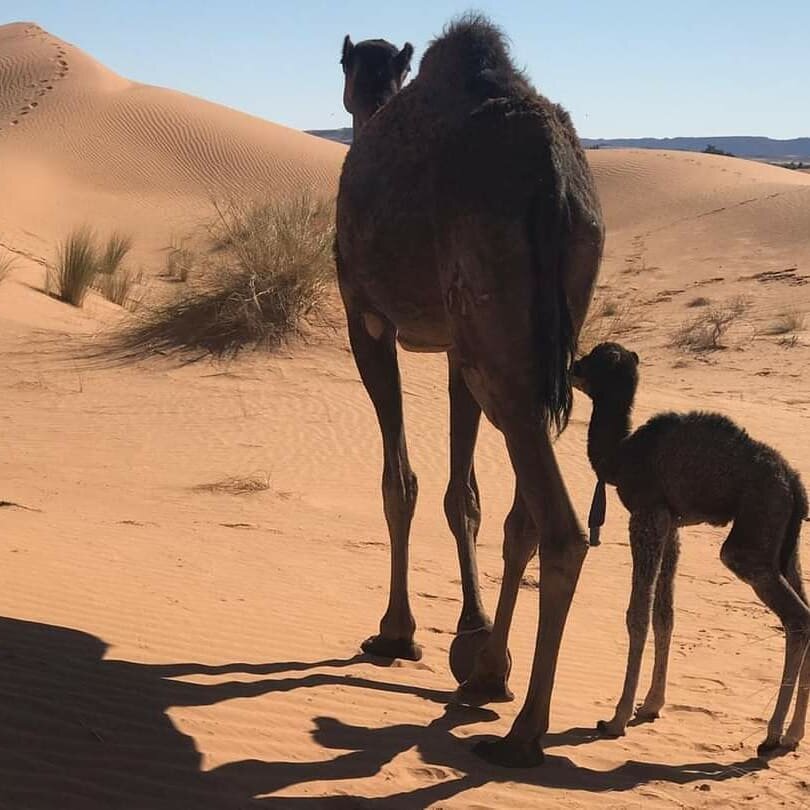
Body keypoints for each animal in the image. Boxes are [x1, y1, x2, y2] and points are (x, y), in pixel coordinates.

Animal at [332, 14, 604, 764]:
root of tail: (555, 180)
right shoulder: (456, 345)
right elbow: (466, 495)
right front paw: (472, 637)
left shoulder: (366, 318)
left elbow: (400, 482)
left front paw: (396, 632)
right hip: (526, 331)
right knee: (527, 514)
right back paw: (489, 676)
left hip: (492, 324)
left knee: (562, 527)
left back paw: (524, 731)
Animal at [572, 338, 804, 756]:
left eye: (593, 361)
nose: (571, 367)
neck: (622, 454)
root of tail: (794, 484)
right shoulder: (672, 523)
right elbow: (664, 614)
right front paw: (651, 705)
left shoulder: (646, 513)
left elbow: (638, 613)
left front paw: (616, 719)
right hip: (785, 545)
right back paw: (793, 734)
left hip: (751, 536)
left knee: (796, 618)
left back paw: (773, 734)